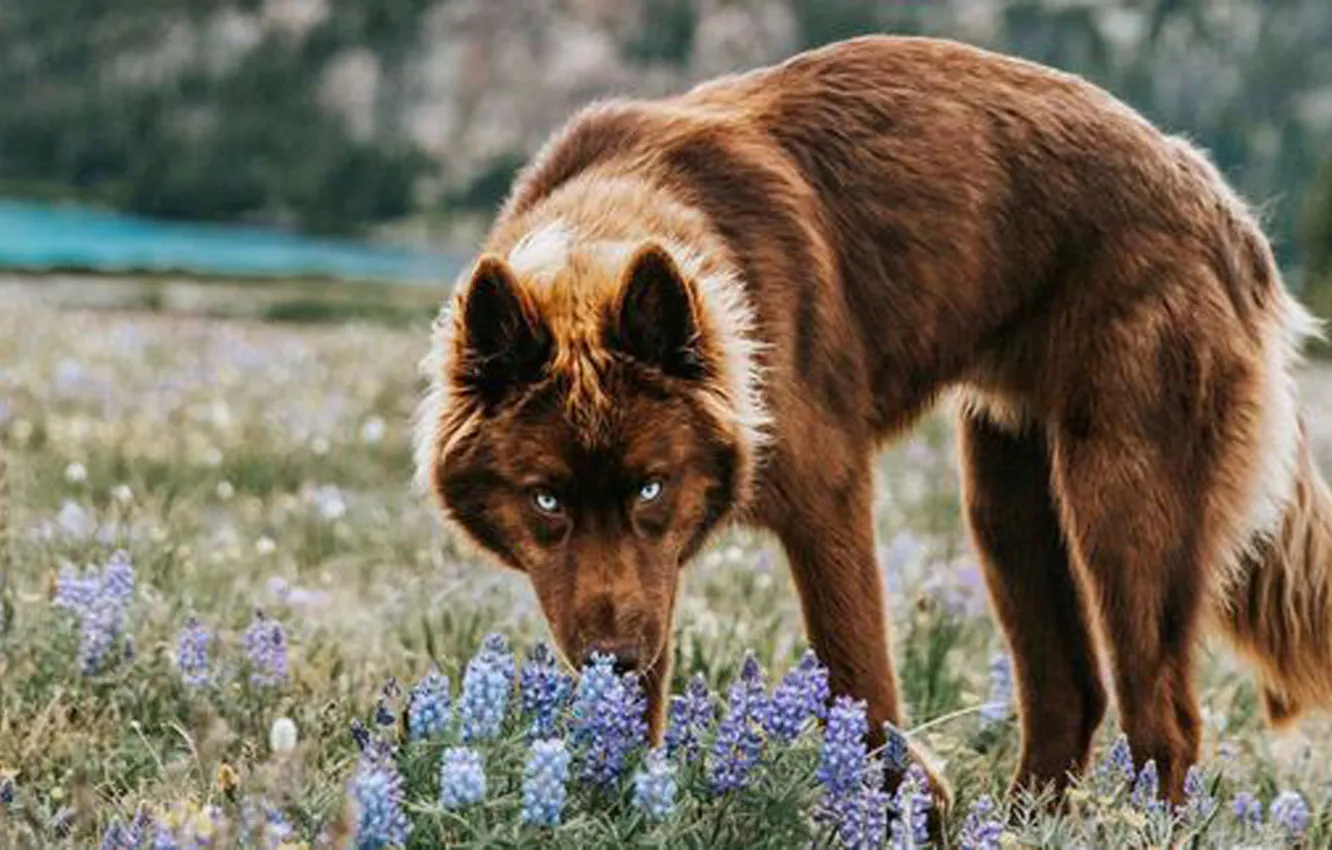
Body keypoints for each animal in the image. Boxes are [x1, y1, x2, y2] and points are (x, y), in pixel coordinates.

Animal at [414, 34, 1332, 807]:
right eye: (546, 501)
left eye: (650, 486)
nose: (613, 659)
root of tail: (1221, 204)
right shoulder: (644, 578)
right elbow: (636, 714)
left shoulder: (824, 499)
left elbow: (856, 677)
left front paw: (906, 805)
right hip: (1006, 496)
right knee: (1069, 691)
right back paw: (1019, 820)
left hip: (1125, 503)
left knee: (1163, 719)